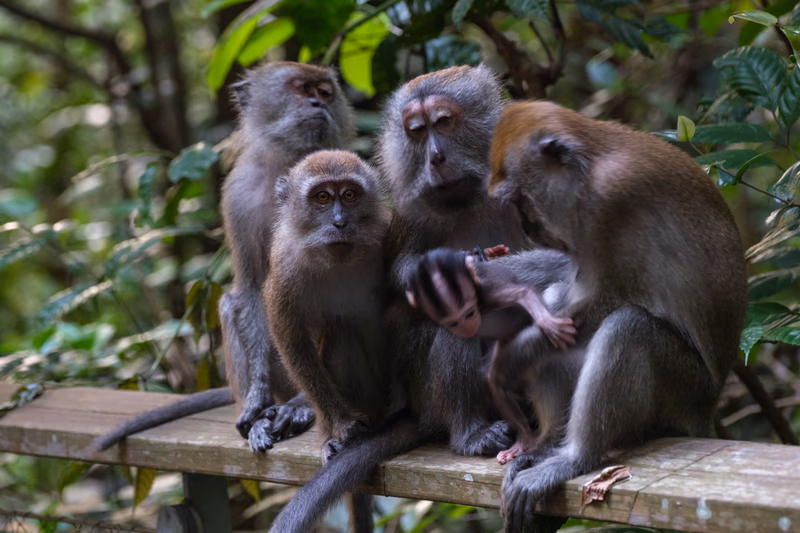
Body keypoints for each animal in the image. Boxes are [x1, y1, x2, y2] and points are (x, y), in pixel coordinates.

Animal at [89, 62, 356, 454]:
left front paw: (302, 408)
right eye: (303, 88)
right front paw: (257, 397)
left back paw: (300, 406)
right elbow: (252, 288)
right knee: (232, 303)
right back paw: (262, 413)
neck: (286, 165)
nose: (318, 104)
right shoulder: (237, 195)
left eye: (325, 92)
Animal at [262, 150, 392, 533]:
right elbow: (290, 338)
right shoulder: (285, 263)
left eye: (349, 195)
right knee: (340, 334)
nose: (339, 223)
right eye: (322, 197)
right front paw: (340, 427)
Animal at [420, 100, 747, 532]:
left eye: (521, 197)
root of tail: (706, 411)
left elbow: (605, 293)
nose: (527, 226)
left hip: (684, 391)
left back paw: (575, 457)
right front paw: (480, 274)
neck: (590, 167)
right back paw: (543, 446)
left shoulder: (612, 200)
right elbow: (564, 277)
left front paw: (511, 349)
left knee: (628, 328)